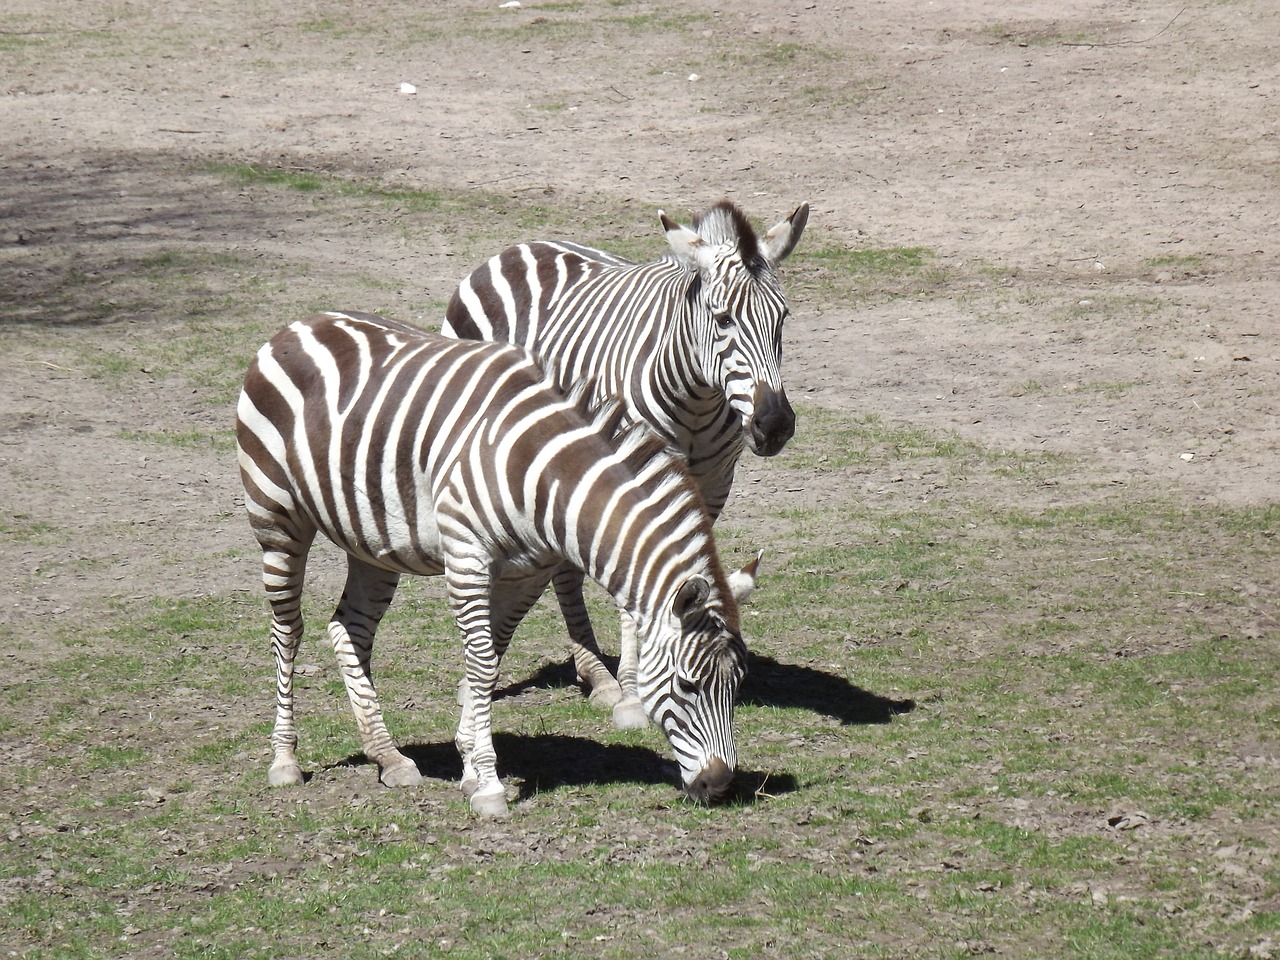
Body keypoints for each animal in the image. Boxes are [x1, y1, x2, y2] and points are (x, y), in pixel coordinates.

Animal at [235, 312, 747, 814]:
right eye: (687, 686)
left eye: (738, 684)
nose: (720, 785)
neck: (541, 473)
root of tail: (298, 325)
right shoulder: (466, 557)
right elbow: (481, 662)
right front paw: (488, 786)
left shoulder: (530, 571)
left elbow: (493, 655)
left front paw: (468, 765)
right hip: (277, 518)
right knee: (288, 632)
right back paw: (285, 760)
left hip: (372, 543)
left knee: (349, 630)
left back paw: (388, 757)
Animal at [448, 200, 808, 727]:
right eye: (722, 319)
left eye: (782, 318)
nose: (775, 424)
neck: (697, 398)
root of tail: (517, 247)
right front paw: (636, 694)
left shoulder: (713, 483)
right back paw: (593, 675)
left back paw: (594, 673)